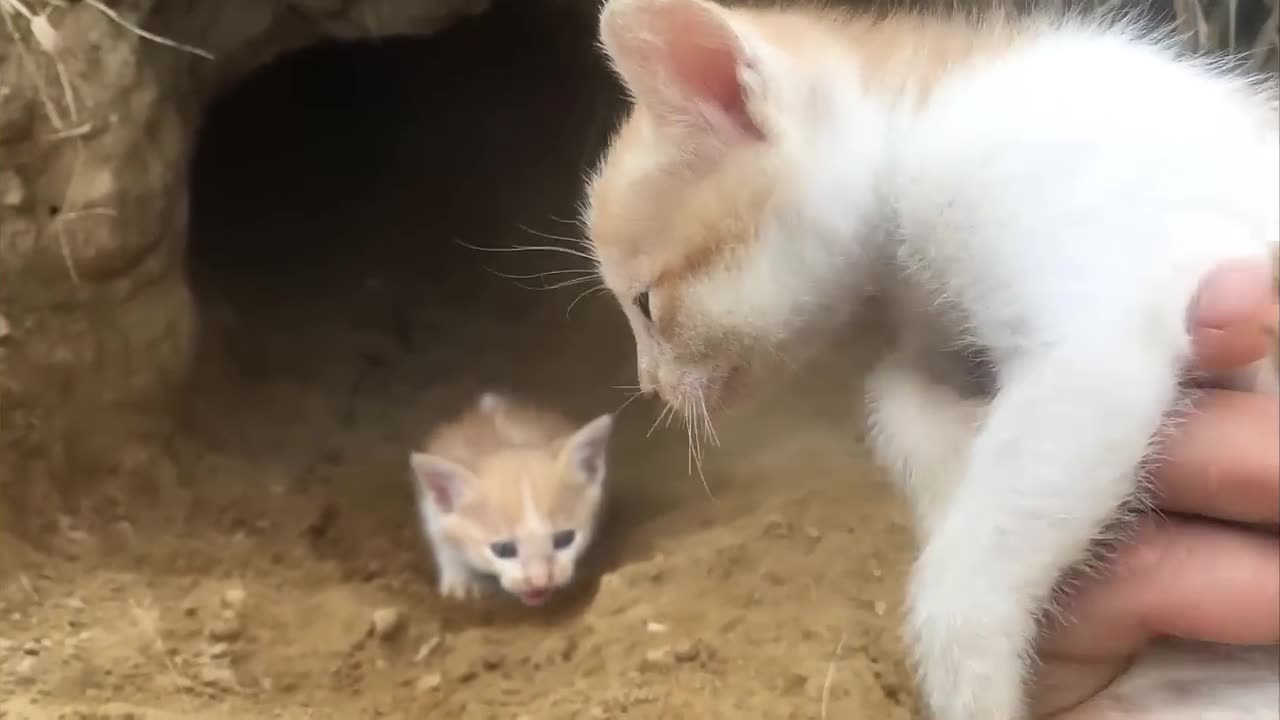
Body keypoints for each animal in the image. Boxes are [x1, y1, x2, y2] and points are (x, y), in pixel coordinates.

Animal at [407, 389, 611, 602]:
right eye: (504, 550)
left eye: (564, 539)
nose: (540, 581)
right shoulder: (431, 509)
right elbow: (442, 540)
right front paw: (459, 580)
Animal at [586, 1, 1274, 717]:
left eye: (644, 304)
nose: (649, 387)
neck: (915, 122)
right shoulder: (933, 333)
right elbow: (891, 390)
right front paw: (950, 471)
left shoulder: (1098, 333)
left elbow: (983, 552)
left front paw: (968, 679)